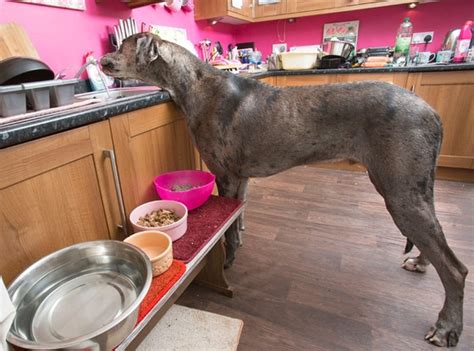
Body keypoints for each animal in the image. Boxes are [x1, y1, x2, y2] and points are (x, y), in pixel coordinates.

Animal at [102, 33, 468, 350]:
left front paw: (230, 259)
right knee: (436, 240)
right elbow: (239, 216)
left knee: (455, 269)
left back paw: (447, 326)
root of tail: (431, 111)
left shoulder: (226, 175)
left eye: (123, 45)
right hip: (410, 188)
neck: (194, 82)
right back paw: (421, 262)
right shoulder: (241, 178)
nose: (103, 60)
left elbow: (229, 229)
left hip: (400, 193)